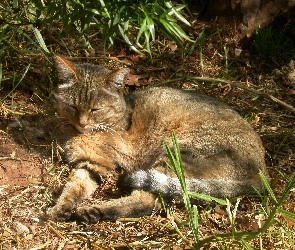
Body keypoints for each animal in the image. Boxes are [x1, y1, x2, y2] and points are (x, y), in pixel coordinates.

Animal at [47, 55, 270, 224]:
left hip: (174, 151)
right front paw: (59, 208)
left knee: (147, 200)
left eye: (95, 109)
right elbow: (73, 187)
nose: (82, 123)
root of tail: (262, 173)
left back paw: (94, 211)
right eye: (73, 106)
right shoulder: (91, 164)